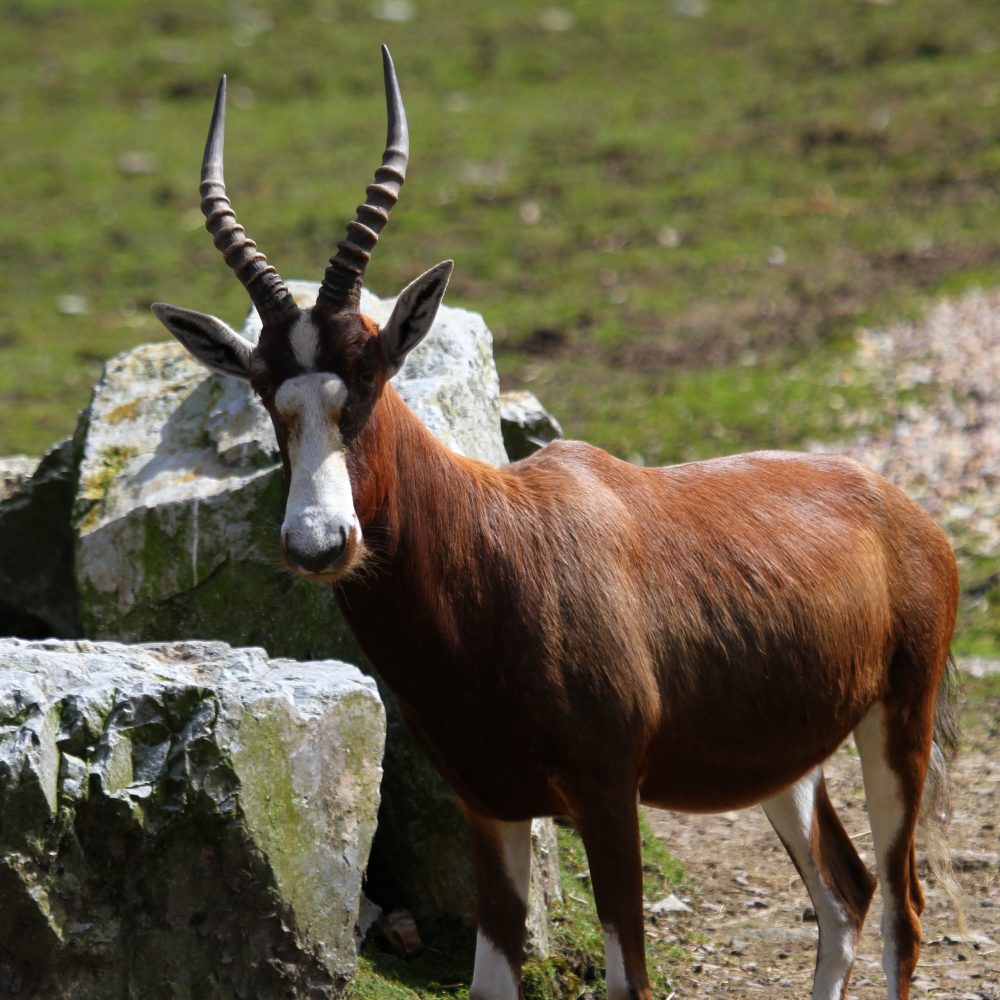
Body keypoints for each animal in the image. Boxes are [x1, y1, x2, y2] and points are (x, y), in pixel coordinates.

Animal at [152, 48, 956, 1000]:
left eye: (372, 374)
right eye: (264, 391)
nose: (319, 544)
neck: (499, 546)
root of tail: (900, 510)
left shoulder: (607, 796)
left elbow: (628, 978)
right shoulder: (491, 807)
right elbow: (491, 983)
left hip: (898, 726)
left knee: (902, 912)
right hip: (785, 762)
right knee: (845, 892)